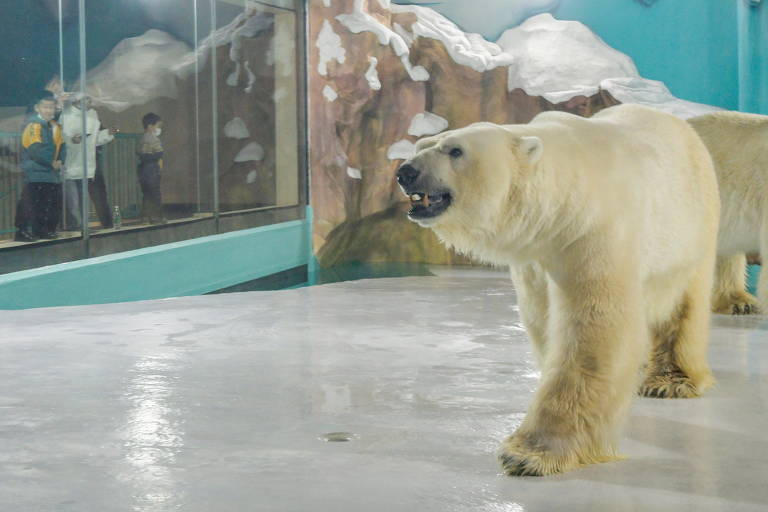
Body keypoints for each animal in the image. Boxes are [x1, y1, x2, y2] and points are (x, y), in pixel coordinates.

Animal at [396, 104, 720, 476]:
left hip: (691, 223)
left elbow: (595, 328)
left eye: (455, 151)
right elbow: (542, 319)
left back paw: (671, 380)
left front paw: (530, 453)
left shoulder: (594, 232)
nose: (405, 172)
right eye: (421, 145)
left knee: (685, 301)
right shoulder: (537, 253)